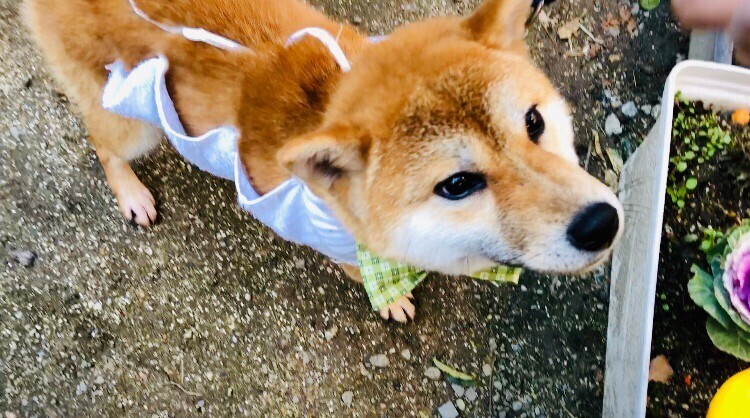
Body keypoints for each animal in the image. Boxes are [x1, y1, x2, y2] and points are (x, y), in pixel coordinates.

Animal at [23, 0, 624, 322]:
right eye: (456, 183)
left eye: (533, 122)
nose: (601, 223)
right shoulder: (340, 246)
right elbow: (362, 272)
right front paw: (391, 299)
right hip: (135, 125)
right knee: (102, 142)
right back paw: (131, 192)